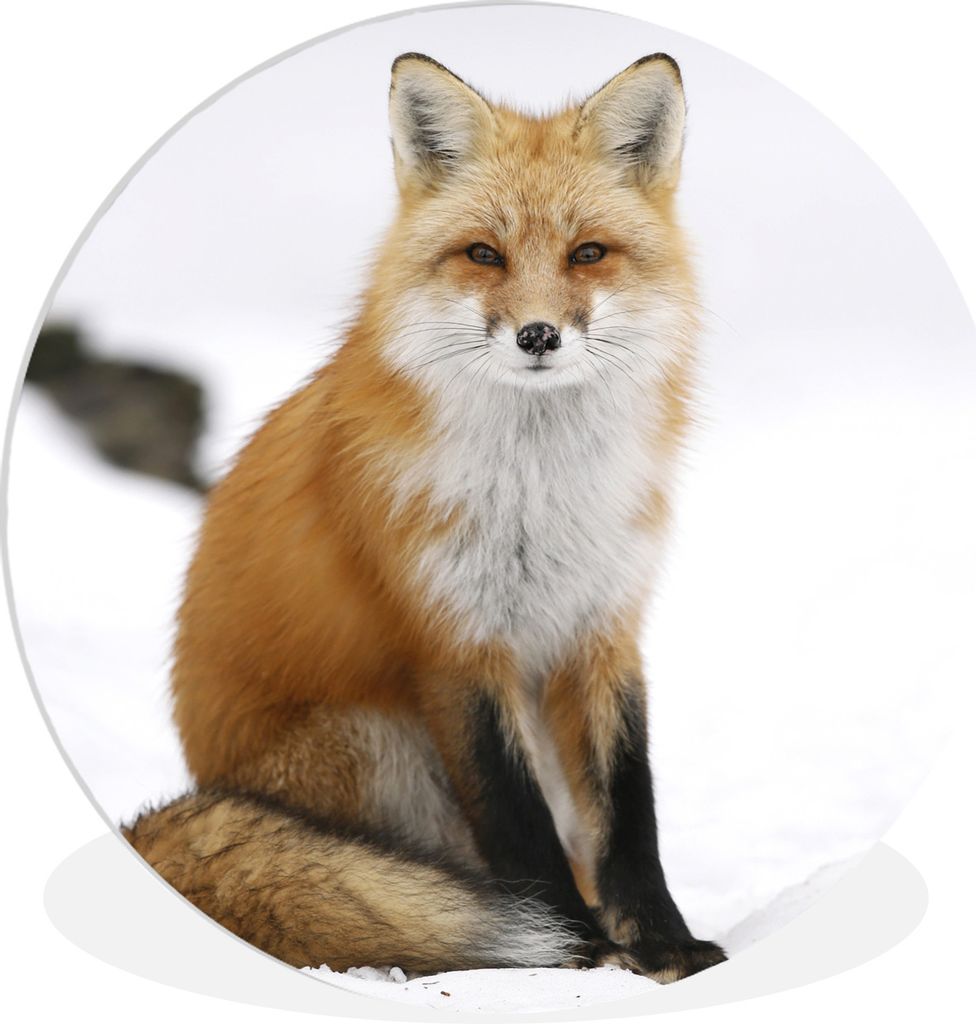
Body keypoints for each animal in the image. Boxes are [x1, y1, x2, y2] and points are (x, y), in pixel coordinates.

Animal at [122, 52, 727, 984]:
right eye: (484, 254)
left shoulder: (603, 626)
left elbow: (631, 812)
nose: (539, 335)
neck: (540, 495)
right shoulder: (453, 642)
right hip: (376, 743)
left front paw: (663, 945)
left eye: (588, 254)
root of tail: (208, 781)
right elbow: (518, 826)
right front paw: (575, 947)